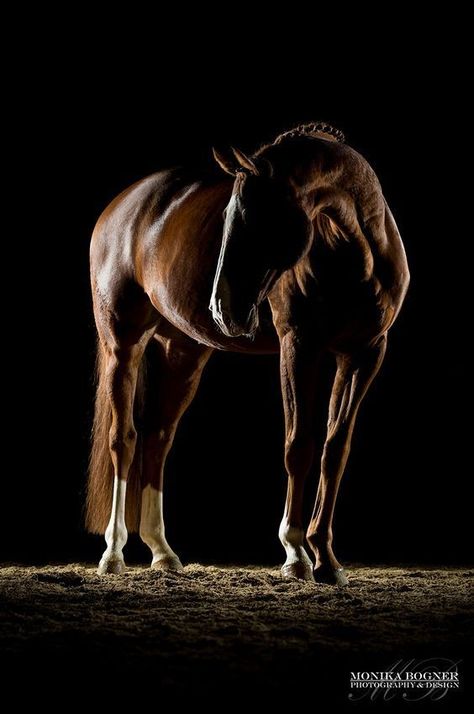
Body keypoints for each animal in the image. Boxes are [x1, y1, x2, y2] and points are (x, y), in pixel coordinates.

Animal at [87, 122, 410, 584]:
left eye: (255, 219)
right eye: (227, 219)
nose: (221, 309)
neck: (354, 251)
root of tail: (120, 206)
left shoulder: (364, 353)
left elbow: (335, 449)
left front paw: (327, 560)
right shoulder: (299, 346)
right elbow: (299, 445)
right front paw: (295, 554)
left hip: (182, 352)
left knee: (158, 438)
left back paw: (163, 552)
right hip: (123, 343)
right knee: (124, 439)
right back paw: (113, 553)